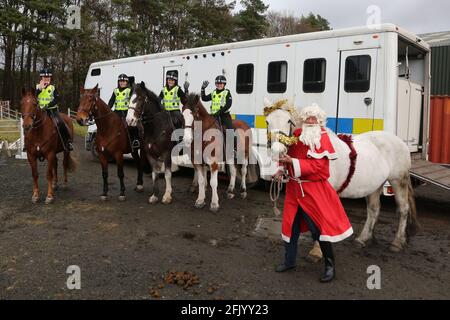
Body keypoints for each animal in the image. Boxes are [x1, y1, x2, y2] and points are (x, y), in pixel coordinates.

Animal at [266, 99, 420, 254]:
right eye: (267, 121)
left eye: (289, 121)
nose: (277, 150)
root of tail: (401, 142)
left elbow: (323, 217)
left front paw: (318, 250)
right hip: (375, 185)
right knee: (374, 210)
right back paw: (363, 239)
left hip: (398, 180)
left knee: (403, 209)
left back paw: (397, 242)